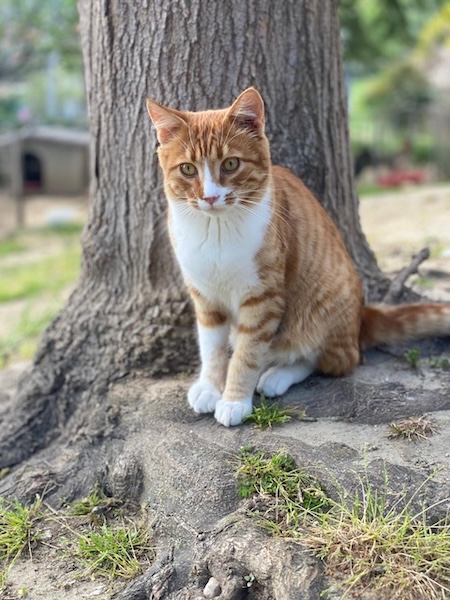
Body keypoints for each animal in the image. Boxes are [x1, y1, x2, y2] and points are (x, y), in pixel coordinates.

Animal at [146, 87, 450, 427]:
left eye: (231, 164)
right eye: (187, 169)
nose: (210, 197)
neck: (217, 230)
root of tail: (362, 316)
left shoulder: (262, 299)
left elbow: (247, 353)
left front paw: (234, 400)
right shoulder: (205, 297)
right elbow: (211, 348)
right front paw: (210, 387)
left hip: (323, 309)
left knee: (333, 359)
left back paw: (277, 376)